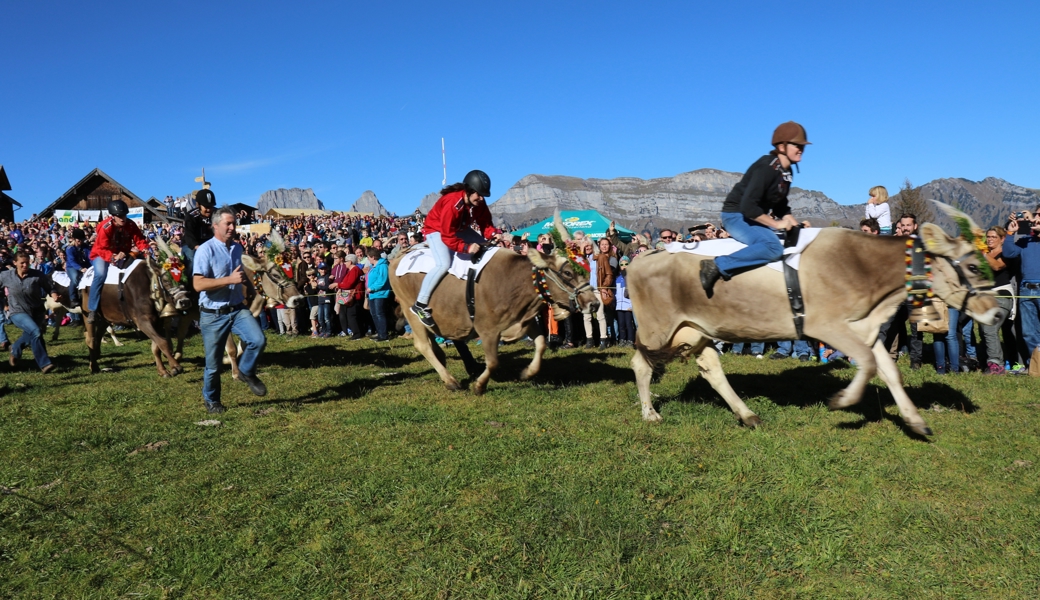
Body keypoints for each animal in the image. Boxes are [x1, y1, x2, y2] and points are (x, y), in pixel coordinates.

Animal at [391, 226, 603, 390]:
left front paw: (527, 373)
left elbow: (542, 344)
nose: (594, 303)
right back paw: (450, 380)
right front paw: (479, 385)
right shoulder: (488, 329)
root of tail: (399, 257)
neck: (514, 281)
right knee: (423, 344)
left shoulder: (524, 320)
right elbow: (493, 361)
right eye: (567, 273)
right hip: (410, 311)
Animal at [628, 221, 1002, 434]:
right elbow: (868, 364)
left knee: (711, 370)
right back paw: (649, 414)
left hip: (698, 330)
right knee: (640, 363)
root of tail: (644, 256)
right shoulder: (828, 325)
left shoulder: (864, 328)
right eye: (972, 266)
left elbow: (889, 371)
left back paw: (747, 415)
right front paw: (843, 400)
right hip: (658, 330)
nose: (999, 313)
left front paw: (915, 421)